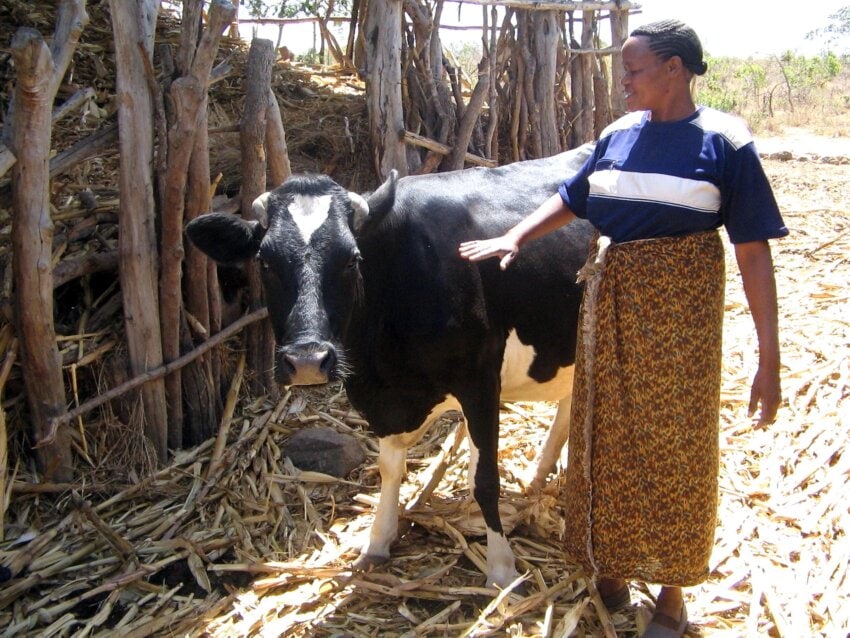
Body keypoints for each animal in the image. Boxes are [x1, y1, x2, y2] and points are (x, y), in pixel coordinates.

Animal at [185, 143, 595, 588]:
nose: (308, 360)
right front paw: (377, 542)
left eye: (351, 259)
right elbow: (389, 469)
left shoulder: (481, 382)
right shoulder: (381, 398)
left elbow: (484, 480)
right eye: (264, 262)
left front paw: (501, 570)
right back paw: (538, 475)